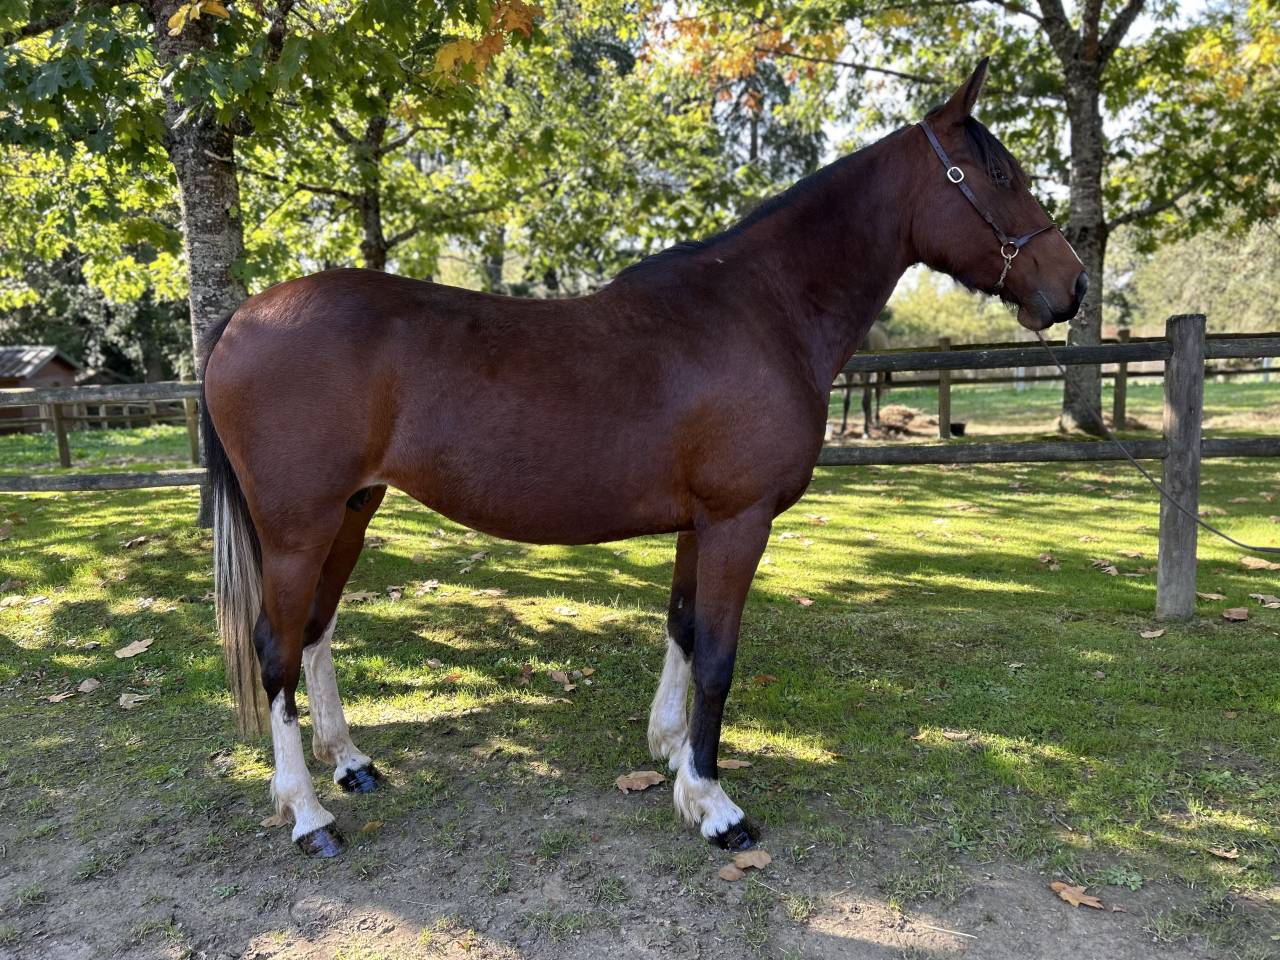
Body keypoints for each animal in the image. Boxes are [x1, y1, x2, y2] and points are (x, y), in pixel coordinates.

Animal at [200, 59, 1086, 858]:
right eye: (997, 173)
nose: (1071, 285)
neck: (762, 309)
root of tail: (242, 320)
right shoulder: (739, 521)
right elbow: (720, 659)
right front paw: (716, 806)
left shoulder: (702, 522)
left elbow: (684, 630)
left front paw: (670, 754)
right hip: (297, 529)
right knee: (276, 649)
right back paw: (308, 814)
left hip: (351, 512)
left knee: (316, 631)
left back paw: (350, 762)